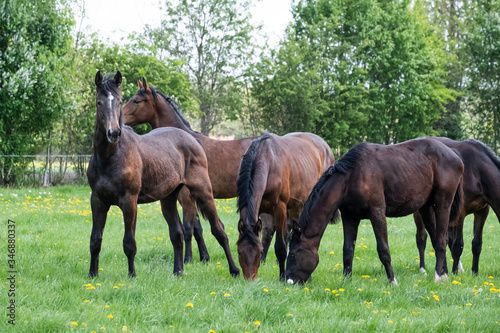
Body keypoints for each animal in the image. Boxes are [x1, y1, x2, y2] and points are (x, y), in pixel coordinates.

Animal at [87, 70, 239, 278]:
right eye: (98, 102)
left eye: (119, 101)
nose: (114, 133)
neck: (111, 157)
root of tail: (192, 139)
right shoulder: (98, 200)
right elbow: (95, 240)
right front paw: (92, 275)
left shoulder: (129, 201)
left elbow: (129, 242)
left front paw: (132, 275)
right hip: (168, 198)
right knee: (177, 234)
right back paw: (178, 272)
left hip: (203, 192)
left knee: (219, 230)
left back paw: (235, 270)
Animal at [122, 79, 276, 264]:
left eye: (136, 101)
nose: (120, 119)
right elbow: (197, 228)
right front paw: (204, 257)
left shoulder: (187, 197)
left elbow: (189, 228)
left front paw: (187, 259)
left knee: (270, 228)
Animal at [235, 131, 336, 278]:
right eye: (239, 252)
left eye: (259, 252)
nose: (250, 278)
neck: (267, 160)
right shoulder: (262, 209)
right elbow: (268, 234)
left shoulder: (280, 208)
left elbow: (280, 247)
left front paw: (282, 276)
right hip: (293, 207)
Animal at [284, 137, 462, 282]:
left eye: (292, 254)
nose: (288, 281)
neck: (351, 177)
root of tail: (454, 154)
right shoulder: (350, 217)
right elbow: (348, 250)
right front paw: (346, 281)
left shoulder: (377, 213)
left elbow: (383, 250)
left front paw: (392, 280)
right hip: (425, 208)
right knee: (436, 239)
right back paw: (444, 273)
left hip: (442, 204)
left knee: (441, 240)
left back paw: (438, 276)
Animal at [412, 136, 500, 274]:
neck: (477, 171)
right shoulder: (461, 213)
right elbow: (458, 244)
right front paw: (454, 272)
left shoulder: (482, 211)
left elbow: (477, 243)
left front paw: (474, 272)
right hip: (421, 213)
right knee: (422, 238)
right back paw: (424, 269)